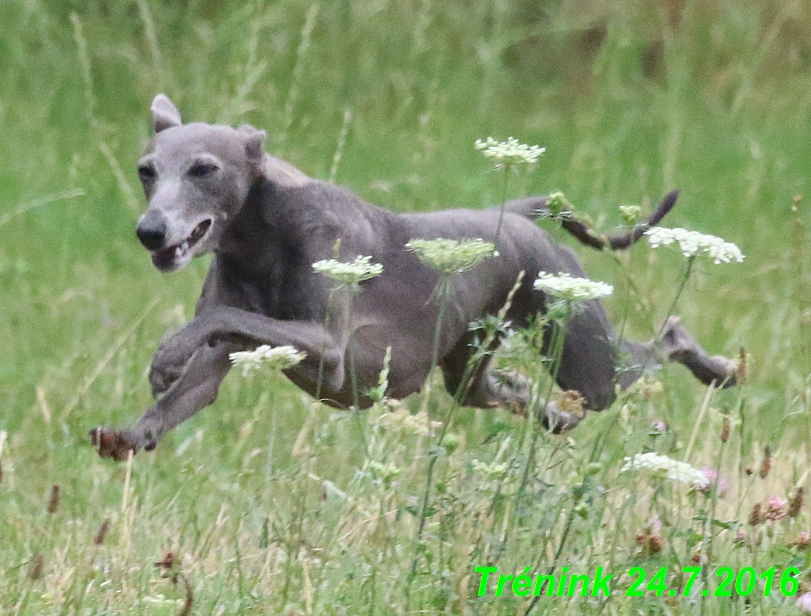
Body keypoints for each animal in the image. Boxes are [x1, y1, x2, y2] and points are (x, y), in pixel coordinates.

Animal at [90, 94, 736, 460]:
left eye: (204, 169)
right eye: (147, 170)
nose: (150, 231)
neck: (260, 233)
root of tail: (516, 212)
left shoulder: (329, 347)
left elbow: (227, 319)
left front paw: (167, 353)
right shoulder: (227, 358)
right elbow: (198, 378)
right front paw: (135, 431)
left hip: (586, 356)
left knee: (665, 340)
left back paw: (719, 368)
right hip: (472, 364)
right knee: (501, 390)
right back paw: (552, 413)